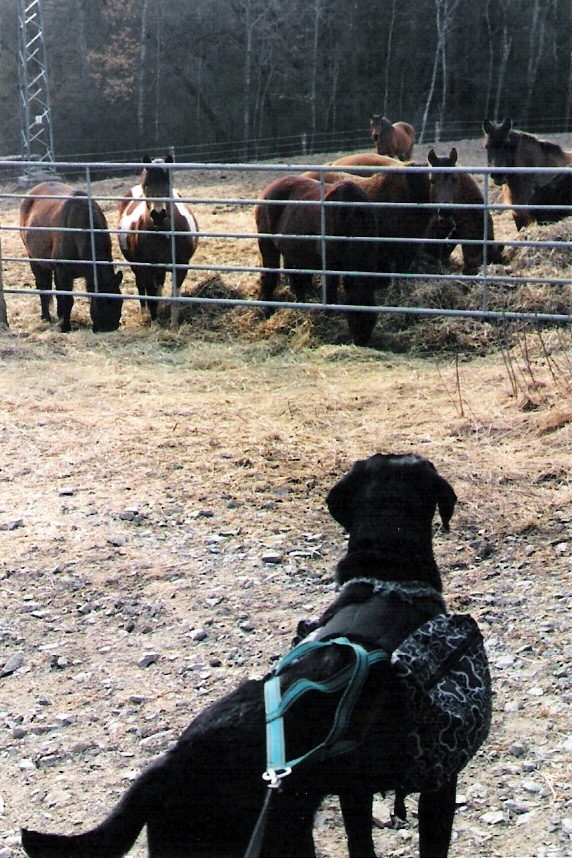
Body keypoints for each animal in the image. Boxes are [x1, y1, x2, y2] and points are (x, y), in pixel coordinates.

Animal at [20, 182, 123, 332]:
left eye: (120, 301)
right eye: (102, 302)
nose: (110, 328)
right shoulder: (64, 272)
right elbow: (68, 300)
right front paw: (65, 327)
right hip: (35, 260)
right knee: (43, 286)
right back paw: (46, 317)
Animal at [118, 155, 199, 322]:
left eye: (168, 183)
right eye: (147, 184)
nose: (158, 214)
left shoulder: (181, 267)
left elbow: (174, 296)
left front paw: (173, 324)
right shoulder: (147, 268)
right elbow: (151, 297)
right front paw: (154, 322)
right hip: (136, 266)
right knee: (141, 288)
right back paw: (144, 314)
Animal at [254, 174, 380, 344]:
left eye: (373, 319)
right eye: (355, 315)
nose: (361, 342)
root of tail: (268, 190)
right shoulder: (330, 265)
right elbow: (331, 291)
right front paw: (329, 316)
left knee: (295, 279)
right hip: (267, 246)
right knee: (269, 277)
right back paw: (267, 310)